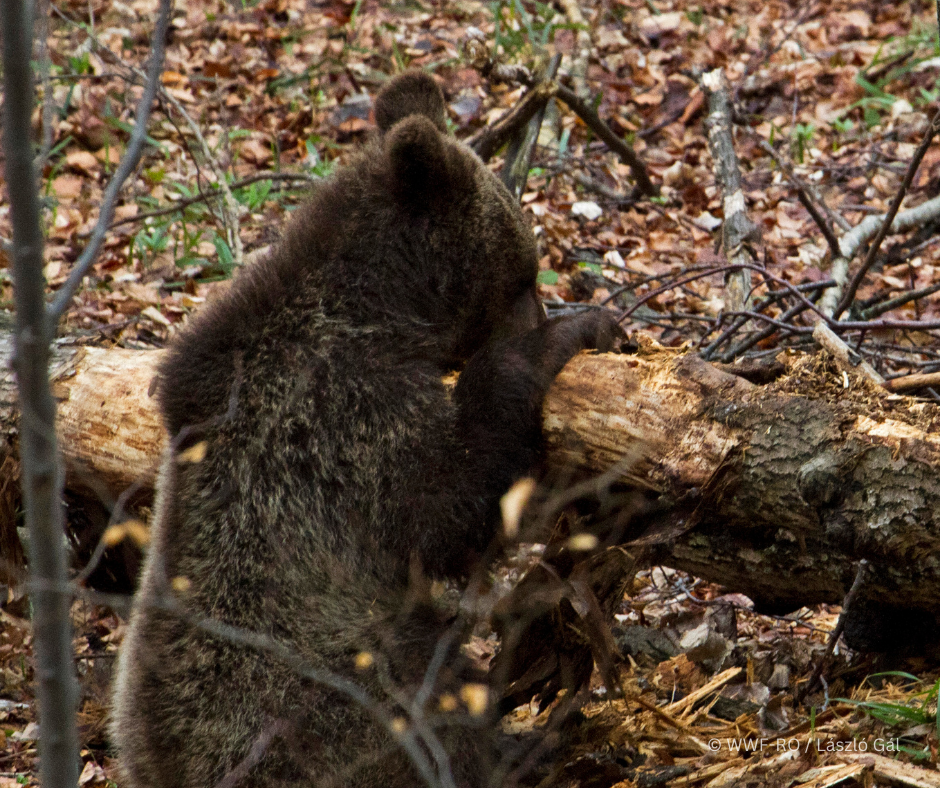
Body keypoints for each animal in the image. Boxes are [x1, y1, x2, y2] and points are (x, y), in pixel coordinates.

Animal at [112, 71, 624, 784]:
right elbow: (445, 509)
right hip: (328, 691)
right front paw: (567, 336)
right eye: (523, 275)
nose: (541, 309)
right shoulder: (342, 418)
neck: (384, 308)